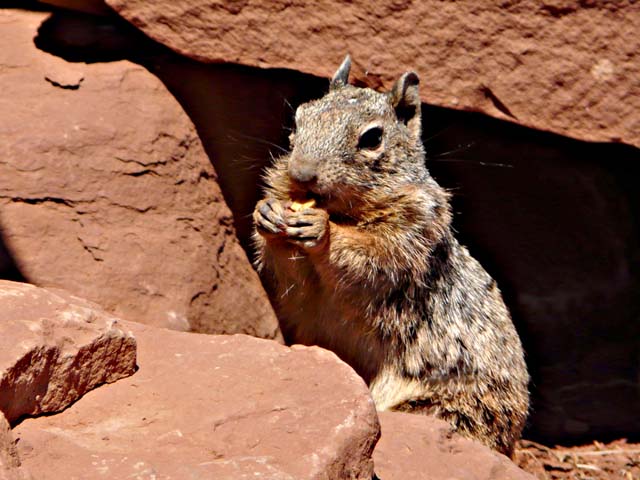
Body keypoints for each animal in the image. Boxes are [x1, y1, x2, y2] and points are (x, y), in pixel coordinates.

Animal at [252, 55, 529, 456]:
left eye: (372, 138)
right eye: (299, 119)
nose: (302, 174)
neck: (343, 211)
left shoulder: (408, 239)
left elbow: (370, 259)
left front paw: (324, 232)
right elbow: (290, 275)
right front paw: (267, 214)